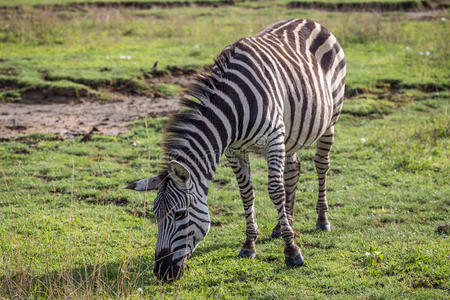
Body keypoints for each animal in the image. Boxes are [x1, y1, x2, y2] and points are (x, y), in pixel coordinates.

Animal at [125, 18, 346, 282]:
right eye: (155, 215)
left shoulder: (273, 138)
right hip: (291, 131)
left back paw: (322, 220)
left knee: (321, 166)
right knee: (293, 170)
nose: (162, 272)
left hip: (330, 119)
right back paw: (282, 225)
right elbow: (246, 194)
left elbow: (275, 191)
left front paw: (292, 251)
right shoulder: (234, 150)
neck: (231, 110)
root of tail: (308, 20)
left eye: (179, 214)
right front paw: (250, 245)